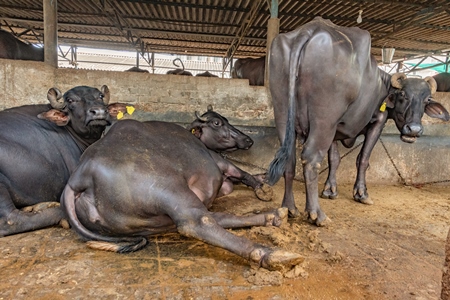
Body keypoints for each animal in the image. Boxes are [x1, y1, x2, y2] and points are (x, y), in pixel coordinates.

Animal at [59, 120, 304, 272]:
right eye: (218, 123)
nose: (248, 140)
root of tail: (78, 178)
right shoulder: (220, 161)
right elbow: (241, 173)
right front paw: (262, 186)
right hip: (167, 189)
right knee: (197, 222)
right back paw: (274, 254)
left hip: (150, 221)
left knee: (214, 218)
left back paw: (273, 217)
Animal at [266, 17, 448, 225]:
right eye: (403, 95)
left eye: (427, 100)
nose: (414, 130)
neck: (382, 85)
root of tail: (309, 30)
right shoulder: (377, 122)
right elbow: (363, 158)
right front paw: (361, 193)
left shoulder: (336, 129)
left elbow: (334, 159)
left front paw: (330, 190)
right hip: (324, 120)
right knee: (311, 158)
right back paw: (317, 214)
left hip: (282, 112)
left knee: (289, 159)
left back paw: (289, 208)